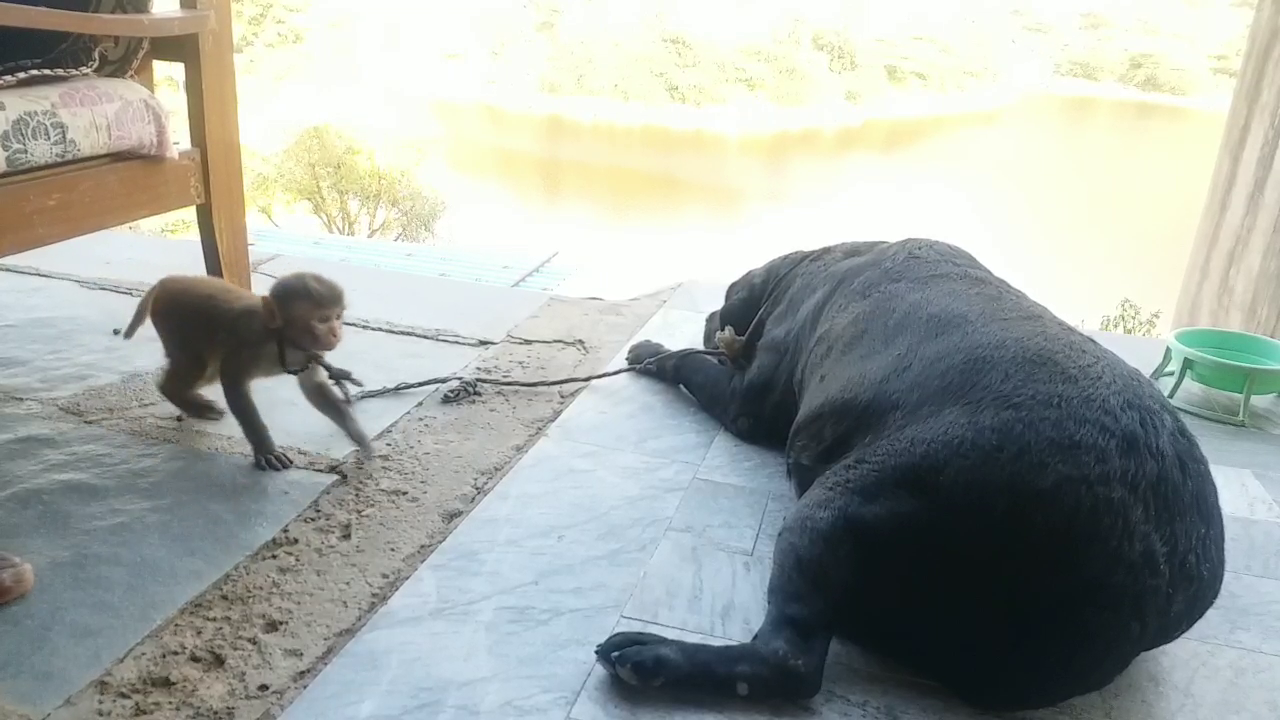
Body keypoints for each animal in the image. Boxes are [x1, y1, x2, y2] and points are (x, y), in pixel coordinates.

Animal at [122, 271, 373, 468]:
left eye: (338, 317)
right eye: (322, 319)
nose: (336, 332)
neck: (284, 339)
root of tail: (168, 281)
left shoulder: (310, 353)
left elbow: (314, 388)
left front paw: (358, 435)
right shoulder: (252, 341)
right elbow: (232, 380)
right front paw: (266, 449)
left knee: (207, 370)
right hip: (175, 322)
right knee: (199, 365)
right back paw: (185, 399)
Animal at [593, 238, 1223, 707]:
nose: (709, 318)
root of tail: (1142, 572)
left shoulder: (748, 399)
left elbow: (686, 364)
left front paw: (651, 350)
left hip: (836, 505)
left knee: (786, 661)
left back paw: (651, 658)